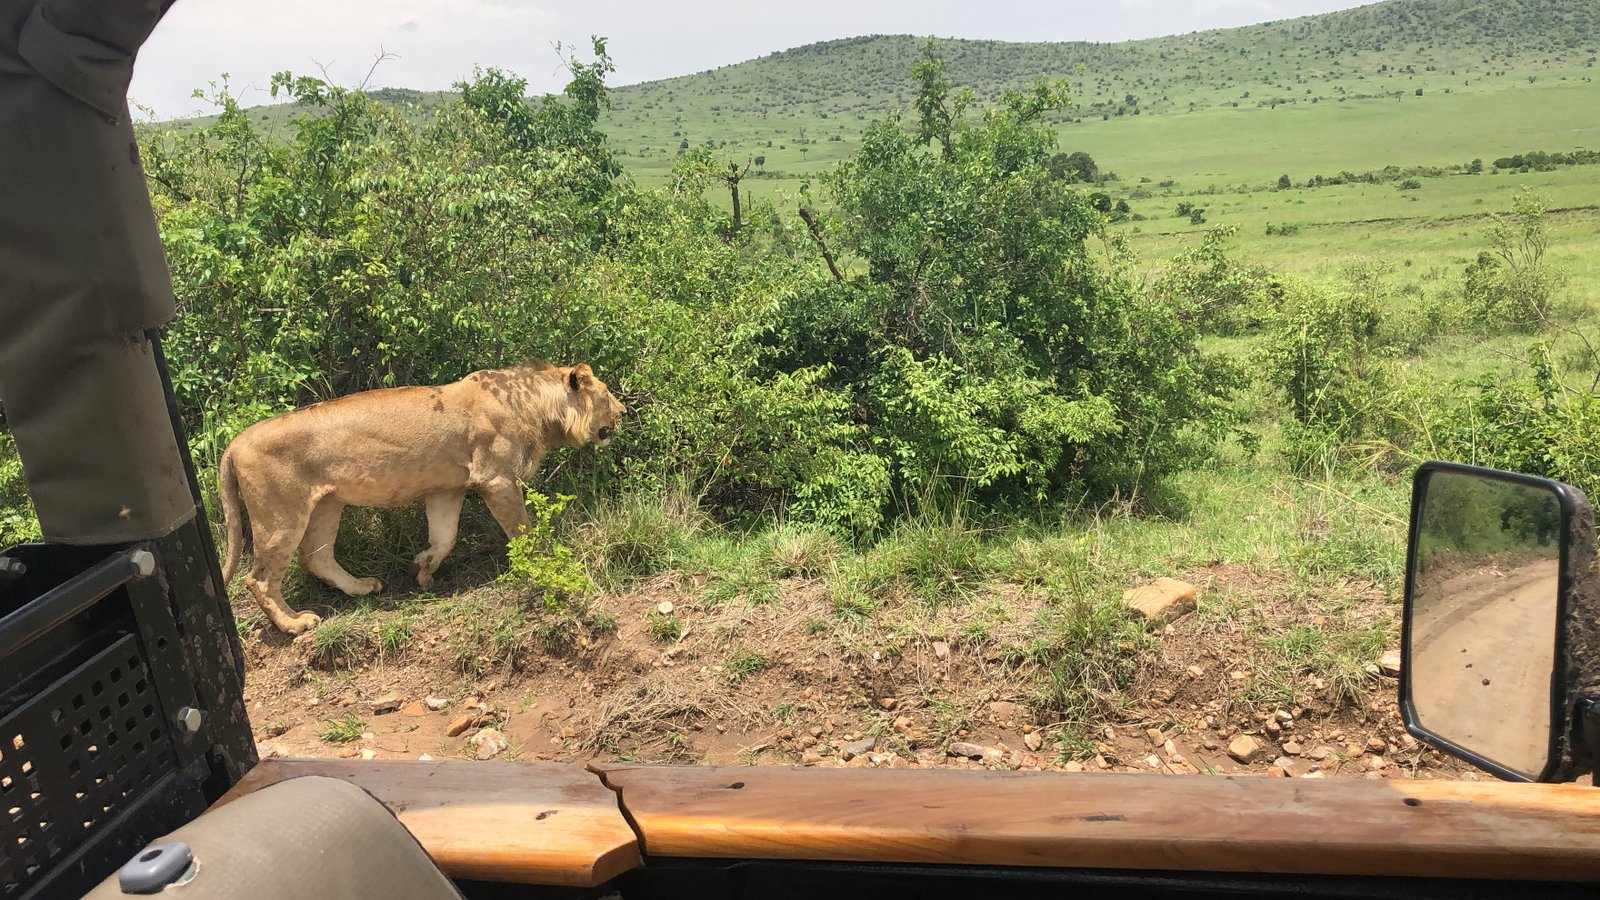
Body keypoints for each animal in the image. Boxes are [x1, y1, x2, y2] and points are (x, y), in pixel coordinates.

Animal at [218, 360, 625, 635]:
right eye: (606, 394)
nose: (623, 412)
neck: (534, 405)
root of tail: (234, 443)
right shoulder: (496, 479)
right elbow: (523, 532)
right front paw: (544, 565)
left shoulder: (447, 488)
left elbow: (445, 537)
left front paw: (423, 568)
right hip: (281, 514)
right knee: (260, 579)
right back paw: (294, 624)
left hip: (327, 505)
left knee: (316, 558)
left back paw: (363, 587)